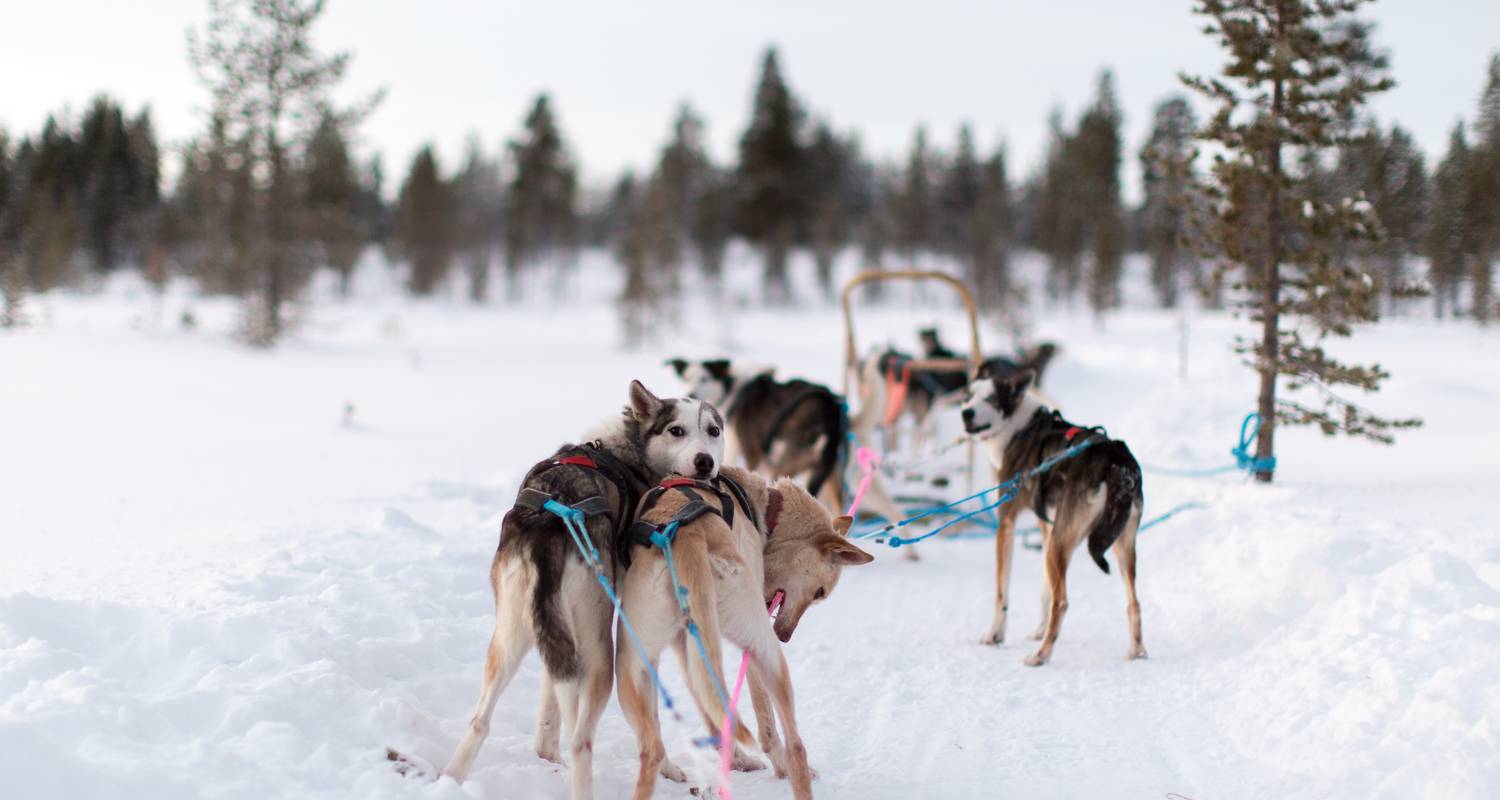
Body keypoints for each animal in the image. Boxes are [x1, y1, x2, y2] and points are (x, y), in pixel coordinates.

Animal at [615, 462, 876, 798]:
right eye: (820, 593)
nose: (785, 636)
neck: (765, 509)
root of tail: (687, 536)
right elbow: (766, 723)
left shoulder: (686, 646)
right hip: (765, 651)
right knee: (793, 743)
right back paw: (794, 770)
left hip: (631, 669)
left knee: (653, 748)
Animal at [960, 370, 1146, 663]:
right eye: (968, 395)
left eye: (990, 398)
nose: (966, 412)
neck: (1020, 428)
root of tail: (1116, 461)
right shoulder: (1046, 527)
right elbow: (1045, 589)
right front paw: (1039, 630)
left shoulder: (1006, 524)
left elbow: (1002, 591)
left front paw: (995, 634)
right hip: (1117, 543)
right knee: (1134, 602)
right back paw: (1137, 650)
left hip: (1061, 542)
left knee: (1062, 602)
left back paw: (1041, 655)